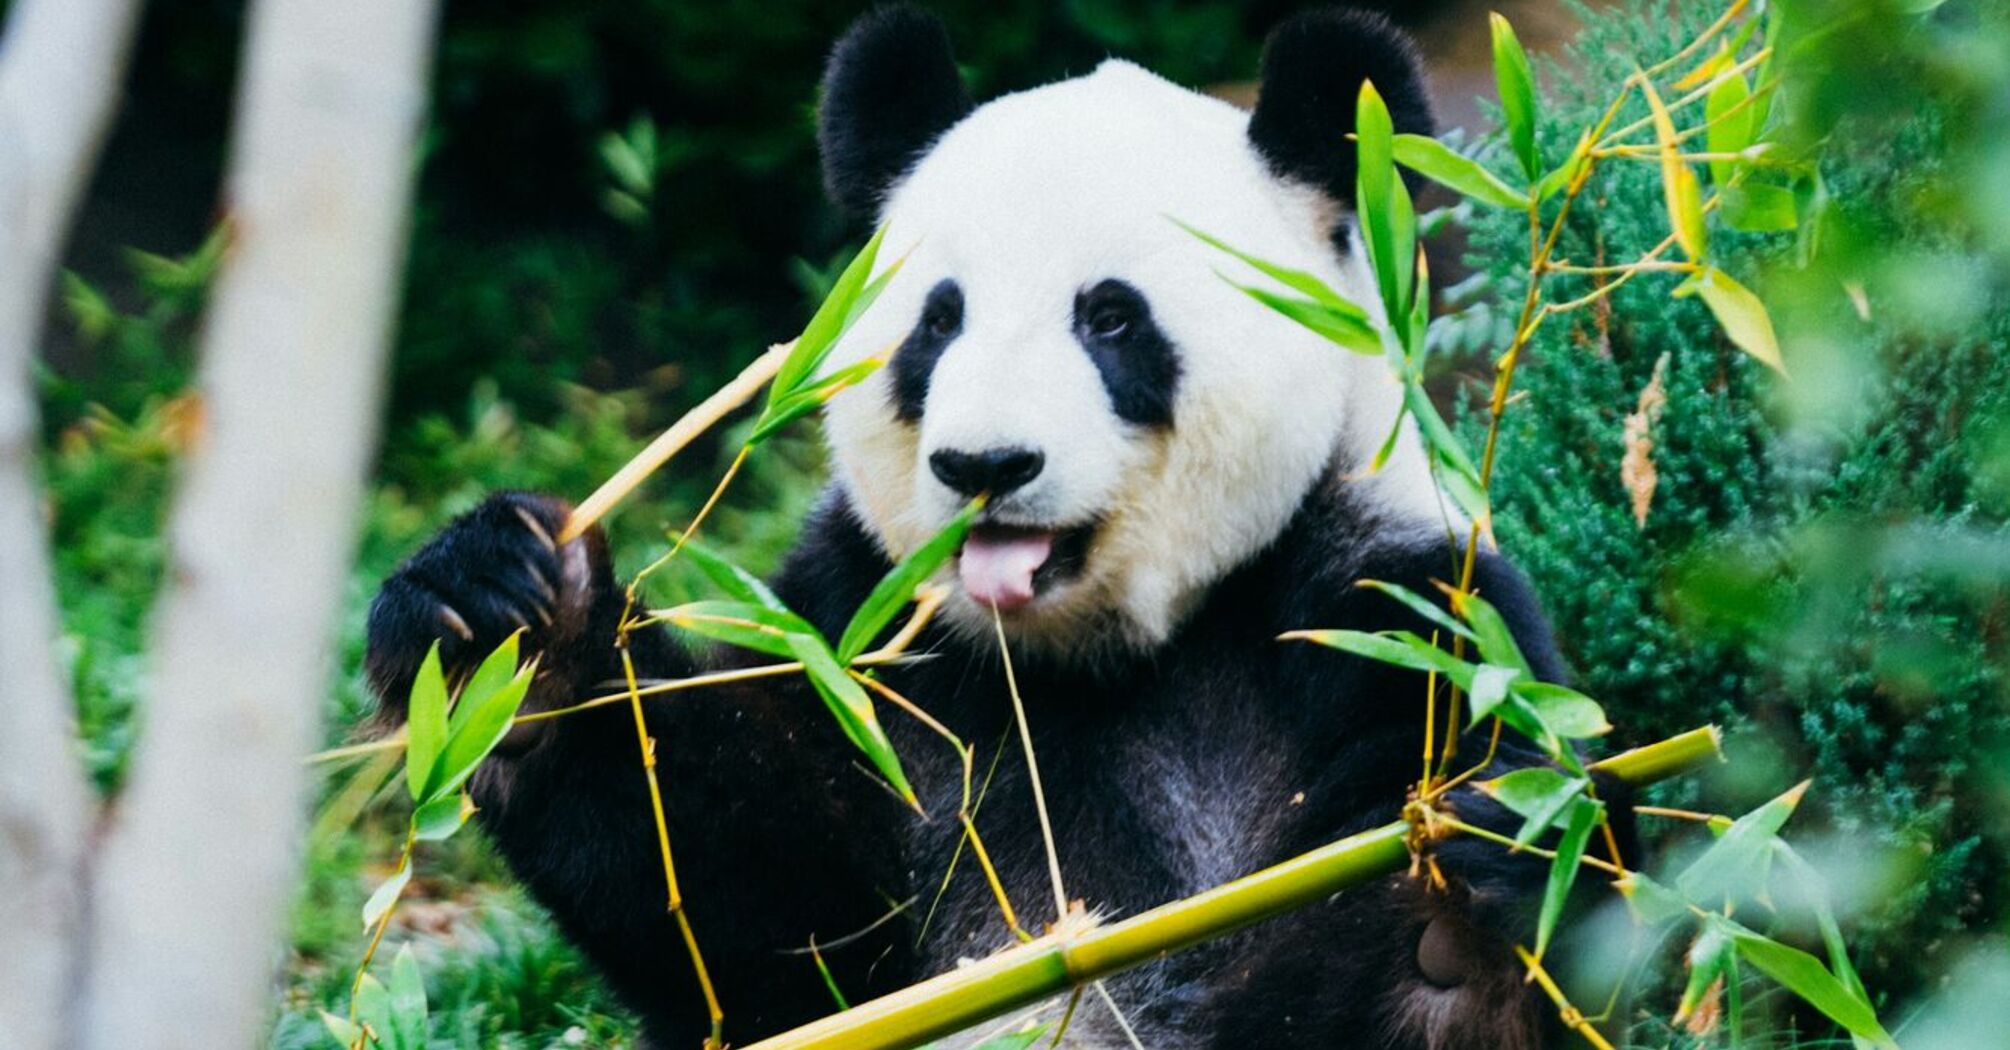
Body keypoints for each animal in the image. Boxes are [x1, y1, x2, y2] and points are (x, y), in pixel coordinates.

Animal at [369, 8, 1608, 1045]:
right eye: (938, 321)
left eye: (1111, 319)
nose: (987, 465)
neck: (1092, 653)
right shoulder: (865, 635)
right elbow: (763, 923)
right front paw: (514, 633)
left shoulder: (1389, 605)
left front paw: (1455, 944)